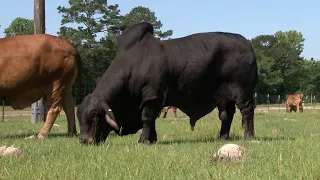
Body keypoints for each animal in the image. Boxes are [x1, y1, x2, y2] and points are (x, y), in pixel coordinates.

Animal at [77, 21, 258, 145]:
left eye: (93, 115)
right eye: (79, 115)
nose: (84, 140)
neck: (134, 65)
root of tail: (247, 43)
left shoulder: (152, 96)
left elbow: (147, 118)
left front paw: (143, 140)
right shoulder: (152, 101)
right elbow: (152, 120)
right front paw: (152, 139)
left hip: (243, 92)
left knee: (247, 111)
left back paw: (249, 135)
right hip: (224, 97)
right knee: (226, 115)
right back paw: (222, 137)